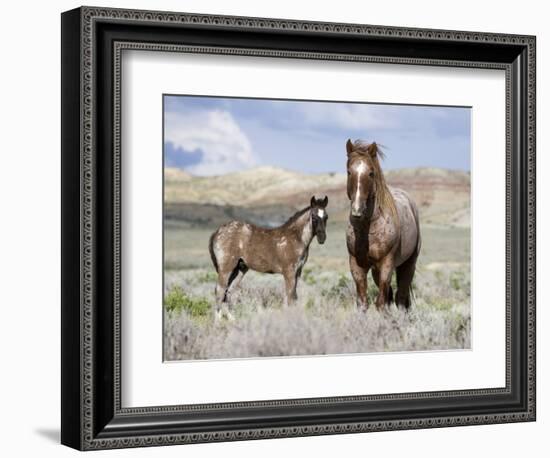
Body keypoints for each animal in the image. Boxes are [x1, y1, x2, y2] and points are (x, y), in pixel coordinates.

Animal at [350, 140, 422, 312]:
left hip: (408, 265)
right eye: (349, 172)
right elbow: (363, 302)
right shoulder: (357, 265)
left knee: (400, 298)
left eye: (371, 173)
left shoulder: (386, 264)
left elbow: (381, 303)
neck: (368, 228)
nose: (357, 210)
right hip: (376, 271)